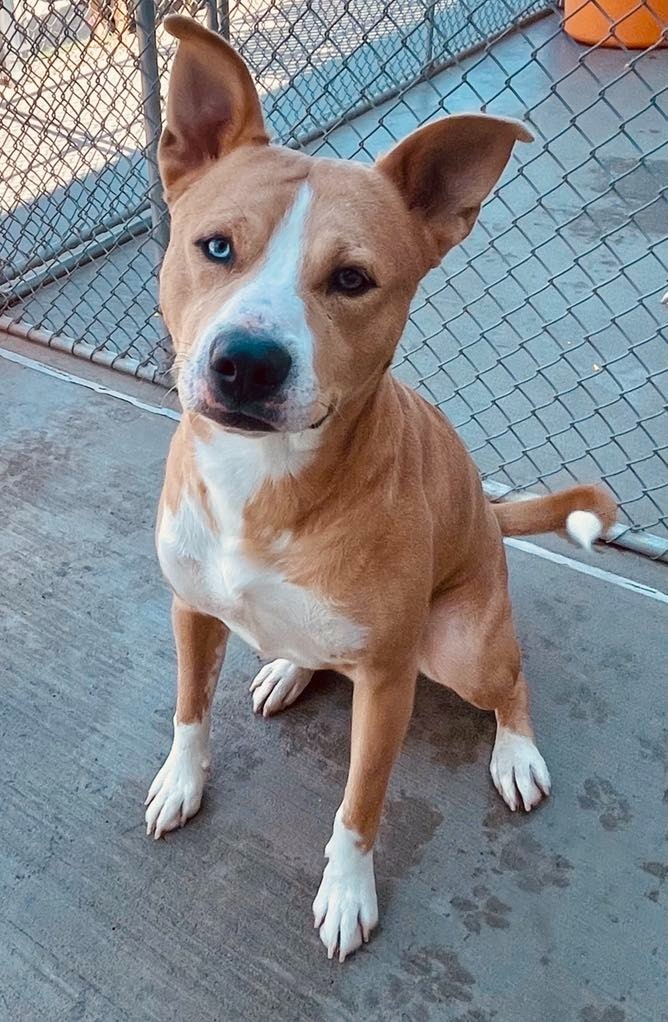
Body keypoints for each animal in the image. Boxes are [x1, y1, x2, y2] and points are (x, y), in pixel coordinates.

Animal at [145, 18, 616, 964]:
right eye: (215, 246)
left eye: (352, 280)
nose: (247, 362)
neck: (259, 483)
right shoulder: (189, 608)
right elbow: (188, 710)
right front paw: (180, 781)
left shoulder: (391, 684)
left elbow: (360, 805)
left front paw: (348, 891)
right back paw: (288, 668)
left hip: (464, 649)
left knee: (513, 682)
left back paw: (516, 754)